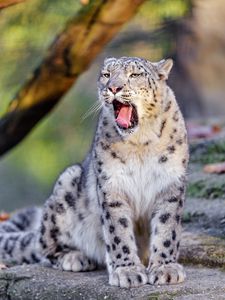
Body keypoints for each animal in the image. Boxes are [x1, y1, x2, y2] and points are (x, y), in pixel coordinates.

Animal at [0, 56, 188, 288]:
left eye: (134, 75)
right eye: (107, 74)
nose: (113, 88)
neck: (141, 142)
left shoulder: (170, 183)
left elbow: (166, 228)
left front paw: (165, 268)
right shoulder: (112, 185)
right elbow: (118, 231)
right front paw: (127, 271)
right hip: (66, 185)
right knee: (44, 246)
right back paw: (75, 257)